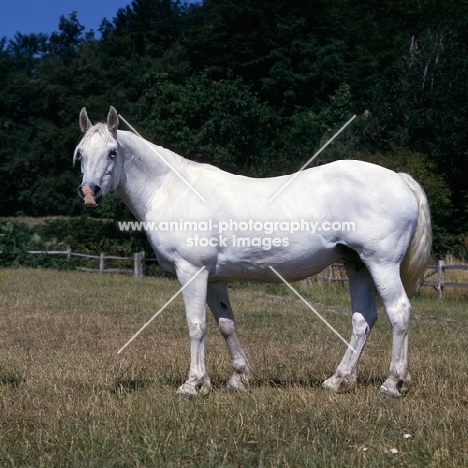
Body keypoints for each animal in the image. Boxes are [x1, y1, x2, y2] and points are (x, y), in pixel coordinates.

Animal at [74, 107, 432, 398]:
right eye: (80, 154)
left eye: (112, 152)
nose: (89, 193)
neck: (171, 189)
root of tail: (399, 178)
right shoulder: (213, 278)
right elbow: (225, 324)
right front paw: (237, 378)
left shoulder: (191, 271)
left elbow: (196, 325)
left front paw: (193, 384)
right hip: (357, 265)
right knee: (363, 320)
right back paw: (338, 380)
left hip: (381, 264)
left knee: (399, 313)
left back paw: (393, 384)